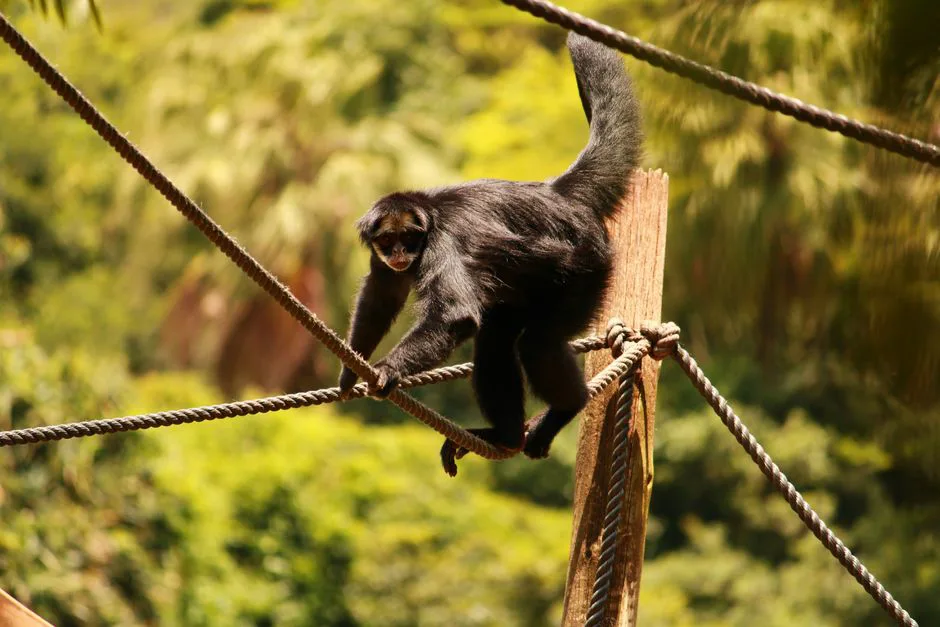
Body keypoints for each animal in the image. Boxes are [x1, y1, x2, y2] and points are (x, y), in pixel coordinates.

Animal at [338, 32, 642, 476]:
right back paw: (506, 435)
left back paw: (565, 408)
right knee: (497, 338)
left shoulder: (443, 241)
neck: (429, 217)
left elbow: (455, 316)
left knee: (536, 342)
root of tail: (556, 195)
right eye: (388, 241)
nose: (399, 253)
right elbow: (382, 297)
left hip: (586, 269)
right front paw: (348, 372)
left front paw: (385, 371)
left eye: (410, 238)